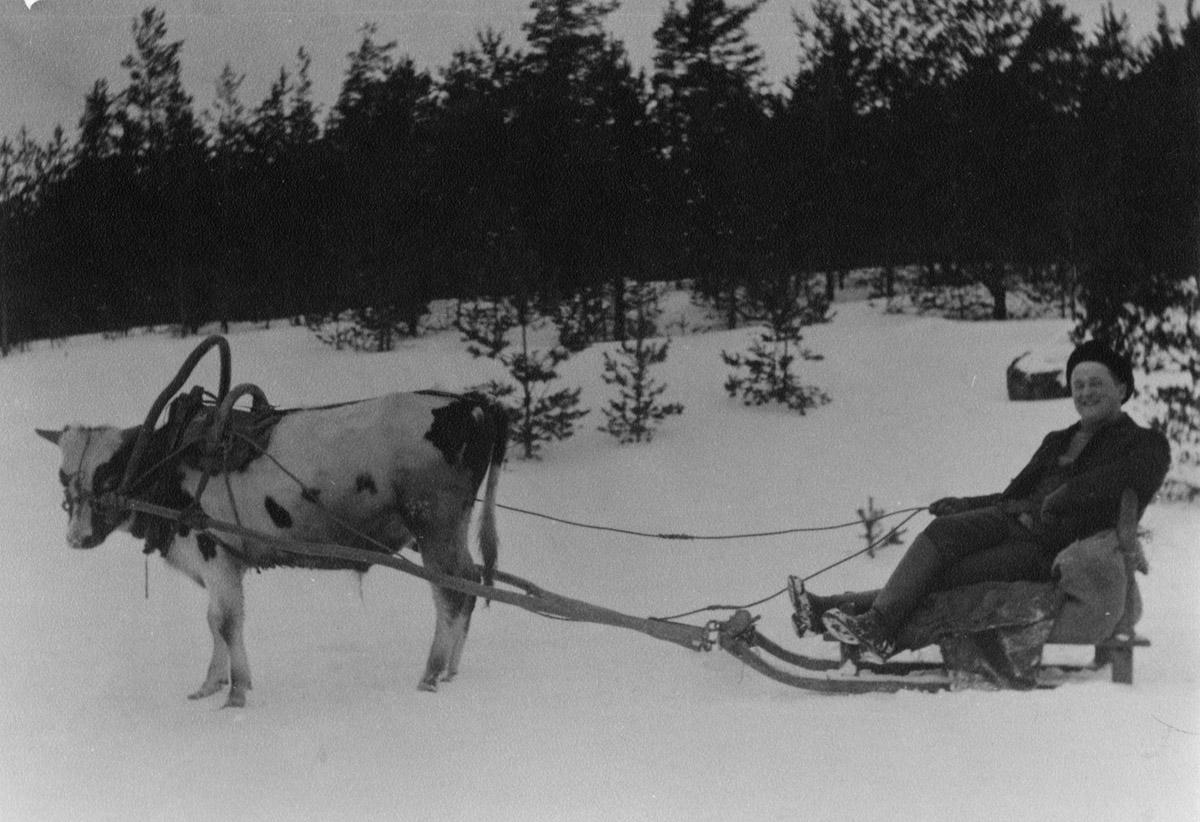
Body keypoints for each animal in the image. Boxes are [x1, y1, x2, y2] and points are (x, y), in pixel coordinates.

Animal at [37, 391, 506, 705]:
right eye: (63, 476)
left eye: (109, 475)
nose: (77, 538)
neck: (168, 461)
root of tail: (469, 402)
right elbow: (213, 623)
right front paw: (210, 684)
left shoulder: (215, 553)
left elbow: (225, 622)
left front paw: (237, 692)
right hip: (450, 529)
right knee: (469, 582)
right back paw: (451, 670)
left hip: (435, 526)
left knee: (452, 592)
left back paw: (431, 673)